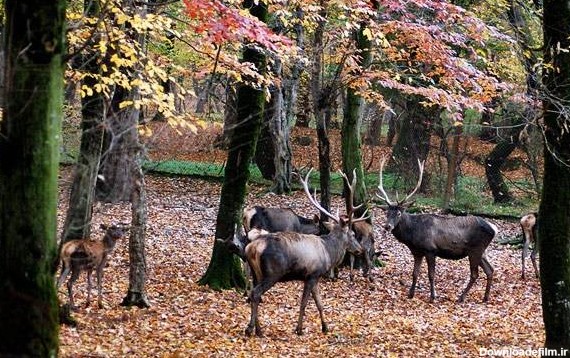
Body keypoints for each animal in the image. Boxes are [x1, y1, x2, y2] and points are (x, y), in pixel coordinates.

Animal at [242, 169, 366, 338]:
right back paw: (252, 329)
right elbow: (304, 303)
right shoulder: (312, 274)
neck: (328, 251)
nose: (360, 250)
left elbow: (319, 303)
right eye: (352, 234)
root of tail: (252, 248)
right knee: (256, 293)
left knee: (254, 291)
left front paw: (325, 327)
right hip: (272, 273)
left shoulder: (314, 276)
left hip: (257, 273)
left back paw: (257, 328)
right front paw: (299, 329)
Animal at [374, 158, 494, 304]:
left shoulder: (430, 250)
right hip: (481, 251)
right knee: (490, 270)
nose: (388, 226)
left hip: (475, 250)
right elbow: (415, 273)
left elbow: (431, 275)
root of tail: (494, 229)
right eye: (387, 213)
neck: (413, 235)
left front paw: (432, 297)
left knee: (475, 274)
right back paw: (485, 297)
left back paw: (461, 297)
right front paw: (411, 294)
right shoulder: (417, 252)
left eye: (398, 213)